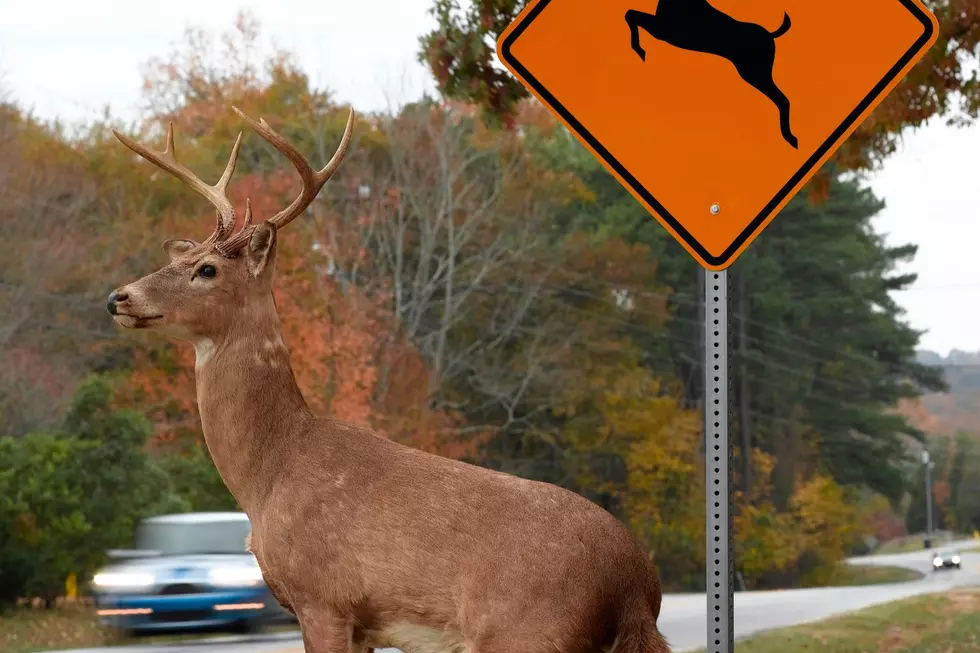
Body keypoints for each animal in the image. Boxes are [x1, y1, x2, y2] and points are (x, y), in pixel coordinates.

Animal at [105, 107, 672, 653]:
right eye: (177, 257)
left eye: (206, 269)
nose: (119, 297)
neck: (270, 474)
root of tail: (636, 584)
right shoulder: (359, 625)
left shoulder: (323, 600)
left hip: (528, 630)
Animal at [625, 1, 798, 149]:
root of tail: (770, 35)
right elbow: (630, 13)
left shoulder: (664, 30)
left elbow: (630, 14)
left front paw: (639, 49)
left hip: (755, 73)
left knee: (782, 100)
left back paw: (790, 138)